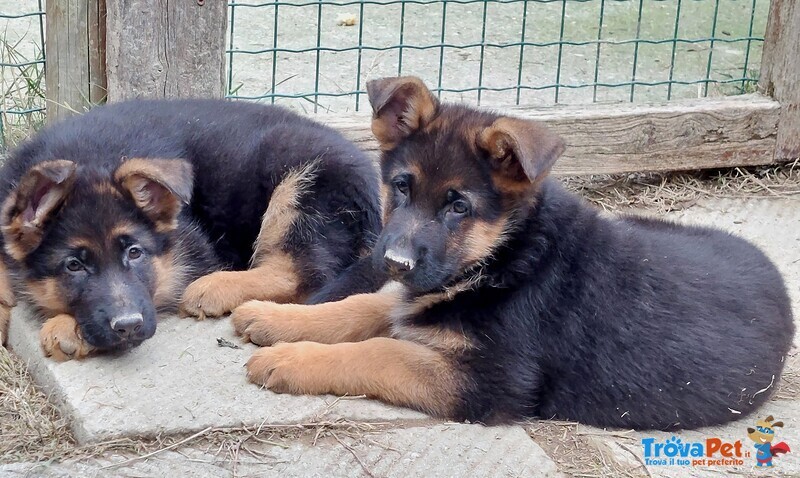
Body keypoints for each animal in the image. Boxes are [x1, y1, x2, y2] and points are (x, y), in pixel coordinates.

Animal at [0, 102, 382, 362]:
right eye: (73, 266)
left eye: (135, 253)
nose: (128, 326)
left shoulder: (183, 255)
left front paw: (65, 327)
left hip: (300, 179)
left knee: (299, 271)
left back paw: (215, 288)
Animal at [231, 77, 792, 430]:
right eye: (401, 187)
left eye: (459, 206)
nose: (391, 263)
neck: (507, 257)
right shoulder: (423, 290)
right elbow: (366, 305)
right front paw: (275, 317)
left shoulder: (490, 383)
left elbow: (380, 351)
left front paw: (291, 357)